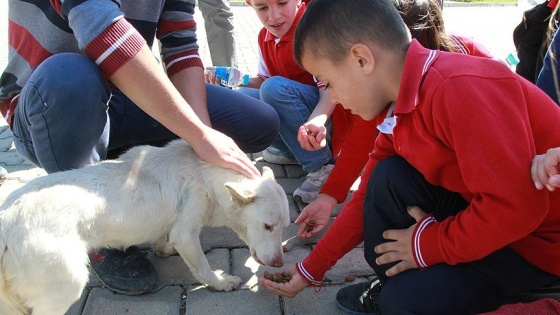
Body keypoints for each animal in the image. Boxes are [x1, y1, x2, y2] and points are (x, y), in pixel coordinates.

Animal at [0, 141, 290, 315]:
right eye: (268, 226)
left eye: (285, 226)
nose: (278, 263)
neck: (204, 173)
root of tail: (5, 222)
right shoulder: (186, 235)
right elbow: (203, 268)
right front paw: (220, 282)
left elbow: (161, 236)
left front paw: (163, 249)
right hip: (66, 284)